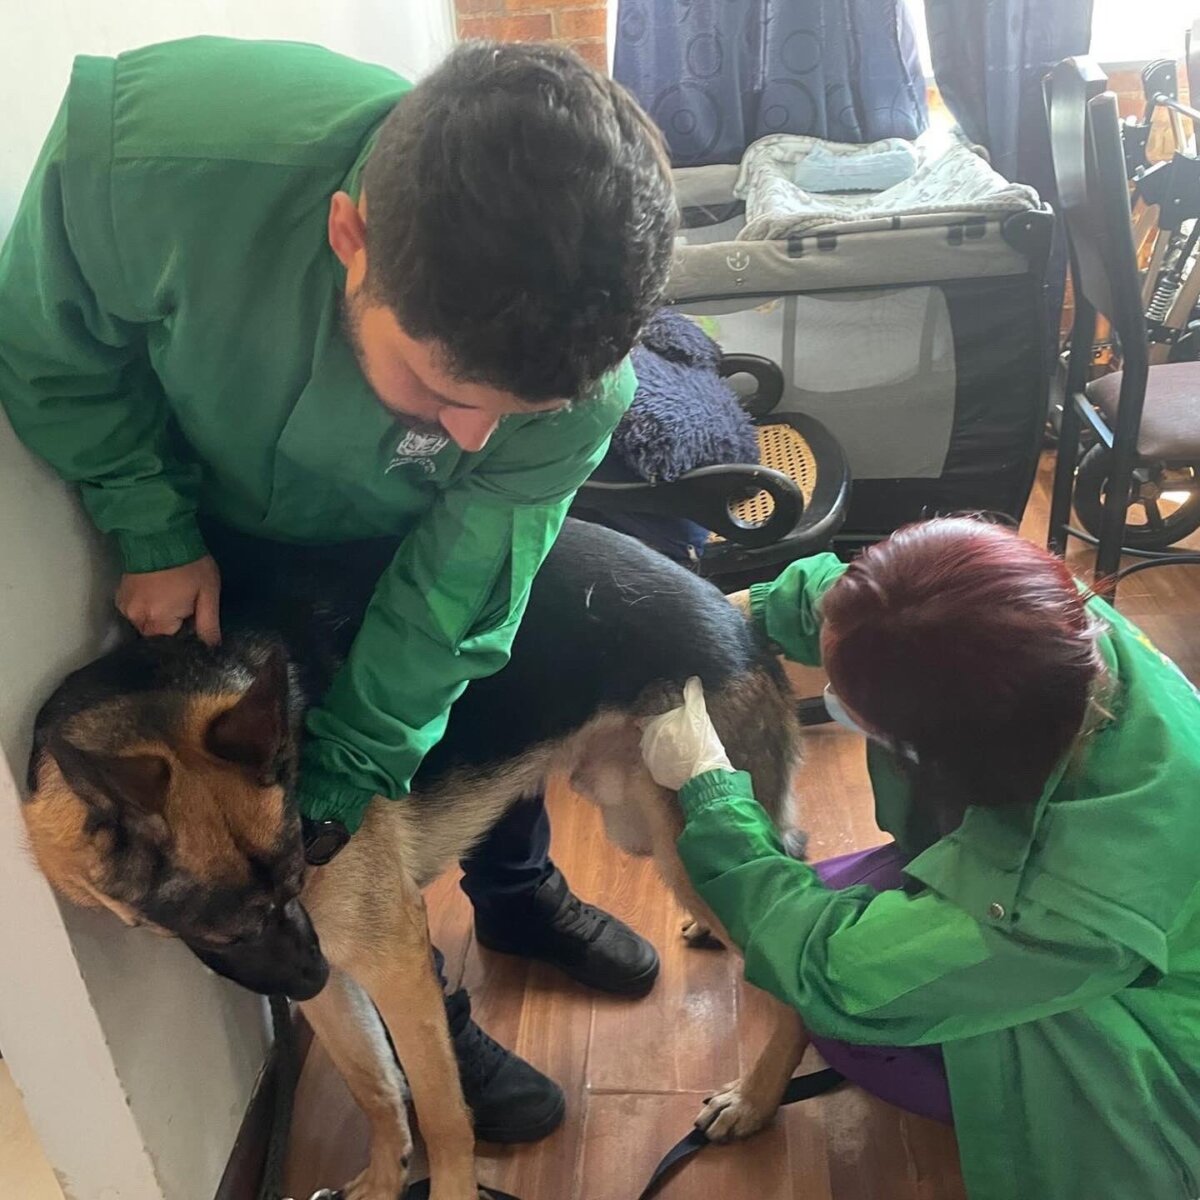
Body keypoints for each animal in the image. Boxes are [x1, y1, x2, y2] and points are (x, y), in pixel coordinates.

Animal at [23, 520, 806, 1195]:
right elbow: (375, 1089)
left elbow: (439, 1109)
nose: (312, 976)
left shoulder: (390, 962)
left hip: (670, 837)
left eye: (294, 878)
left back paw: (755, 1099)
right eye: (229, 928)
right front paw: (383, 1178)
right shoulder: (330, 971)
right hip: (639, 820)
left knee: (787, 928)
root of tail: (739, 618)